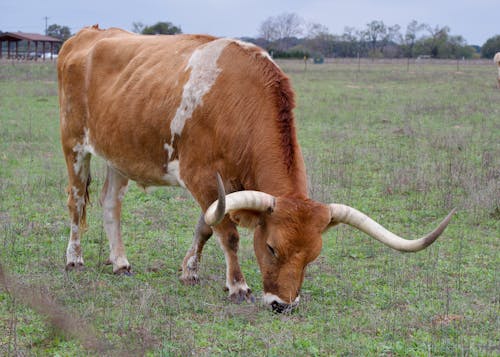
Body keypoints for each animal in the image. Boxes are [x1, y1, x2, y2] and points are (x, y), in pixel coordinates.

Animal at [56, 25, 456, 312]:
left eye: (313, 255)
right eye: (272, 248)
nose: (283, 306)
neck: (238, 103)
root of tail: (86, 34)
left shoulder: (223, 189)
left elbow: (207, 226)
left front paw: (190, 271)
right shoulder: (203, 178)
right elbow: (228, 234)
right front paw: (237, 286)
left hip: (119, 154)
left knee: (110, 204)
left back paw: (120, 262)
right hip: (74, 145)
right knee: (76, 202)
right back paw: (74, 258)